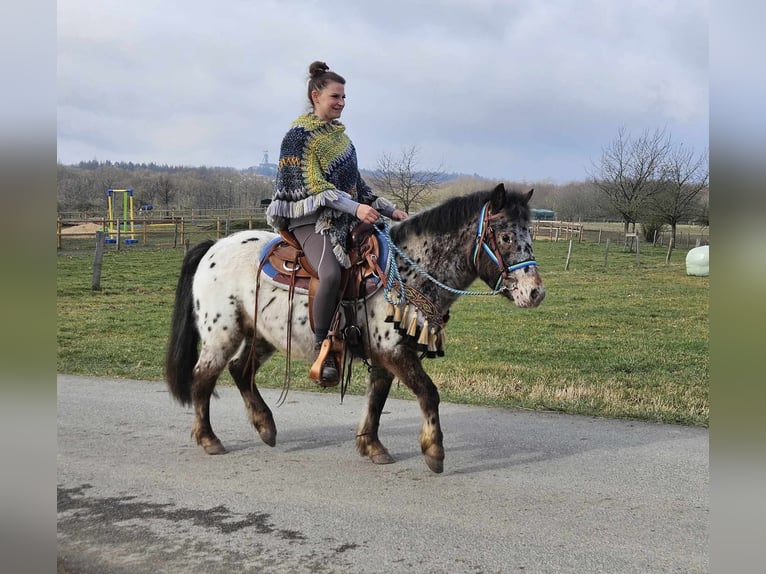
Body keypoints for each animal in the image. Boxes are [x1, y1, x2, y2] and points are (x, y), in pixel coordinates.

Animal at [166, 183, 544, 472]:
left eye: (530, 234)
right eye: (506, 237)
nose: (535, 292)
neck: (408, 270)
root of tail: (212, 247)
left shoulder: (385, 355)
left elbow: (377, 399)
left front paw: (372, 446)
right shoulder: (394, 351)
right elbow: (428, 393)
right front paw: (434, 451)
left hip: (264, 335)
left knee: (240, 371)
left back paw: (265, 427)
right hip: (222, 335)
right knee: (203, 378)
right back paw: (210, 439)